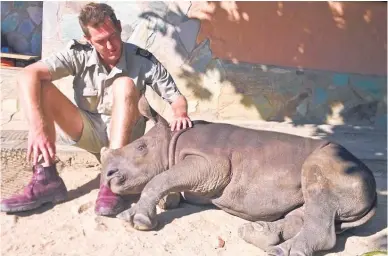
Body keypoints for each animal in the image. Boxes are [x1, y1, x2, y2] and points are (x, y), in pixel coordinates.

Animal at [100, 94, 376, 256]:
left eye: (140, 148)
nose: (108, 175)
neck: (171, 141)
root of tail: (373, 189)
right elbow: (168, 183)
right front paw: (165, 202)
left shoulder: (212, 162)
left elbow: (161, 178)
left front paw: (136, 220)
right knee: (310, 209)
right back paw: (256, 234)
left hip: (338, 164)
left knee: (317, 190)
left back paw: (279, 251)